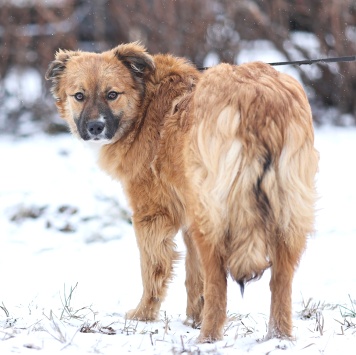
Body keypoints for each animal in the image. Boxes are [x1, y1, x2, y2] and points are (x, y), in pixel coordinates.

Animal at [46, 43, 318, 344]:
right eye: (79, 96)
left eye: (112, 94)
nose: (95, 127)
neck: (145, 104)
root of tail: (257, 98)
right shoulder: (188, 216)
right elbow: (193, 274)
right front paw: (193, 317)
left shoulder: (152, 214)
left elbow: (154, 269)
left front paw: (144, 315)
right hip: (287, 213)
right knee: (280, 280)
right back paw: (278, 337)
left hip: (214, 216)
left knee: (219, 281)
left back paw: (208, 338)